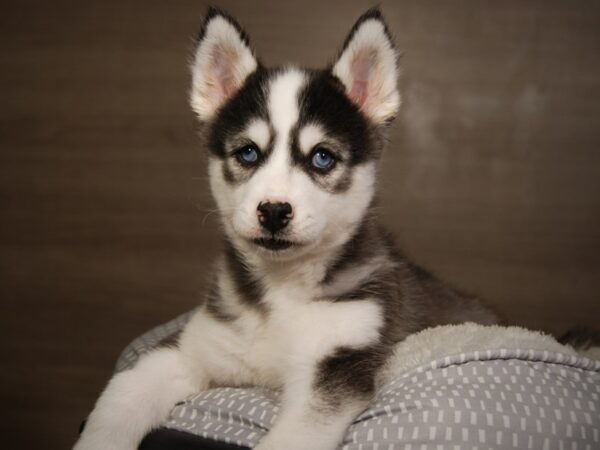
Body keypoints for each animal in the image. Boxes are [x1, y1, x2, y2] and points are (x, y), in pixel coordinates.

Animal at [74, 7, 496, 450]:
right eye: (248, 153)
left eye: (322, 158)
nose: (274, 211)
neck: (281, 292)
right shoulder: (190, 348)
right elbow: (121, 396)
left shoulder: (335, 364)